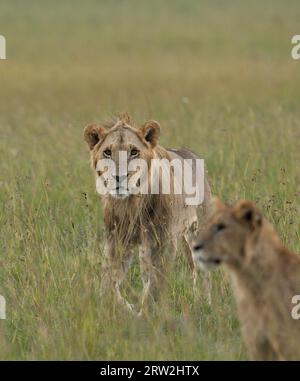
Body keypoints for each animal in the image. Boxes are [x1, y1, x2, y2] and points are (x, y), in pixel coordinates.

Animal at [83, 113, 212, 312]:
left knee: (203, 272)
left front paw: (148, 311)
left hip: (197, 231)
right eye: (107, 152)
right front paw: (122, 306)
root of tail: (190, 153)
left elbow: (156, 282)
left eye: (134, 152)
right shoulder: (116, 240)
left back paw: (205, 303)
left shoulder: (162, 241)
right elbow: (109, 280)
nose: (119, 177)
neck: (131, 204)